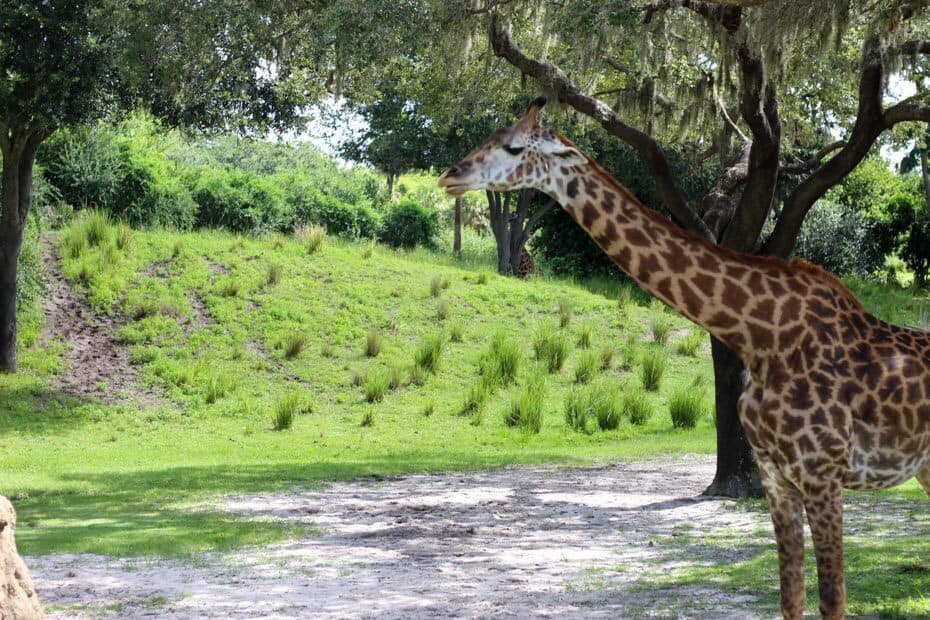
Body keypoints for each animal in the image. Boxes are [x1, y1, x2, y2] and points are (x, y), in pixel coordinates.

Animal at [436, 97, 930, 620]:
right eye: (489, 136)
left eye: (513, 147)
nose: (450, 176)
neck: (760, 336)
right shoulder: (776, 475)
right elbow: (790, 599)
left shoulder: (822, 472)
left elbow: (832, 601)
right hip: (924, 467)